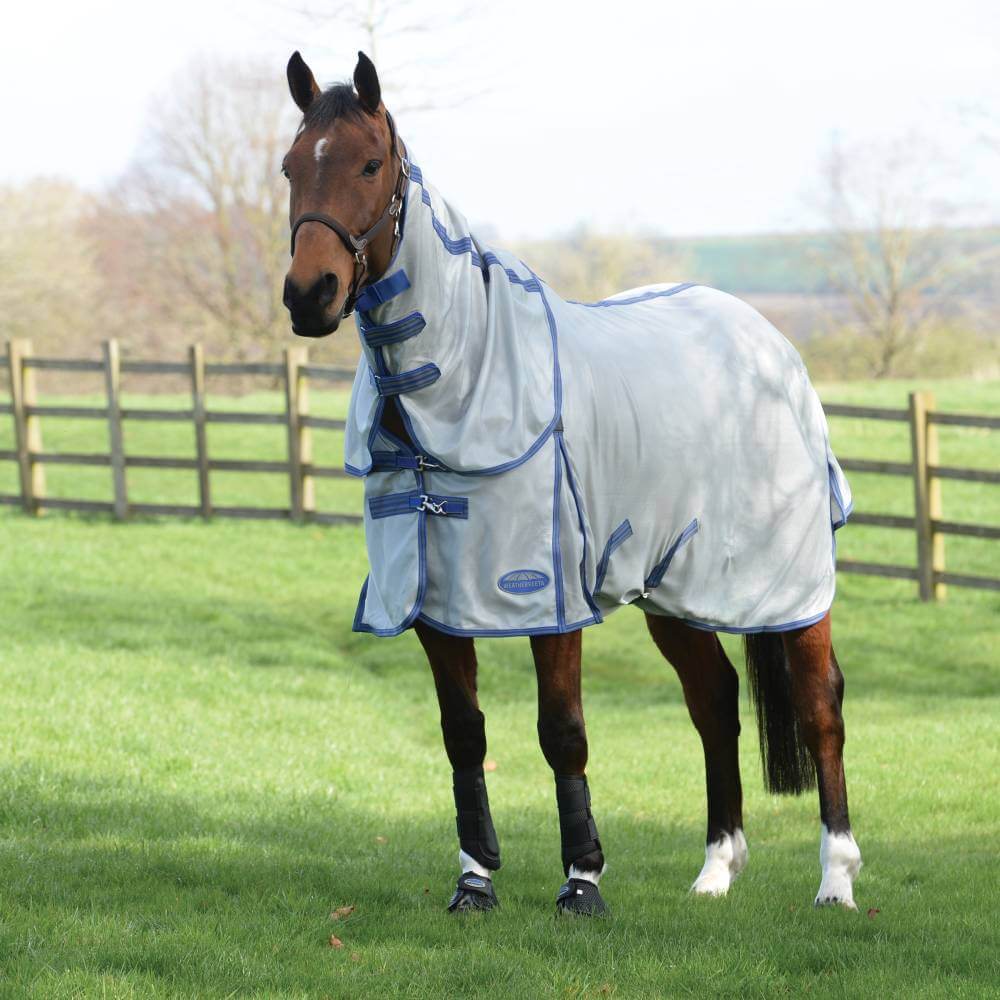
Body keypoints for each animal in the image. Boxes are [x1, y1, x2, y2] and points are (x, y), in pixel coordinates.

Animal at [281, 50, 862, 916]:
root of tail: (772, 346)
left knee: (821, 705)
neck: (464, 380)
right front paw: (475, 881)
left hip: (790, 585)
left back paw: (835, 880)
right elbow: (464, 732)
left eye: (369, 164)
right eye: (290, 167)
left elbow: (562, 731)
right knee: (714, 703)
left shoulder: (546, 596)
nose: (309, 294)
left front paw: (582, 880)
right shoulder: (432, 604)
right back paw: (715, 871)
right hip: (674, 586)